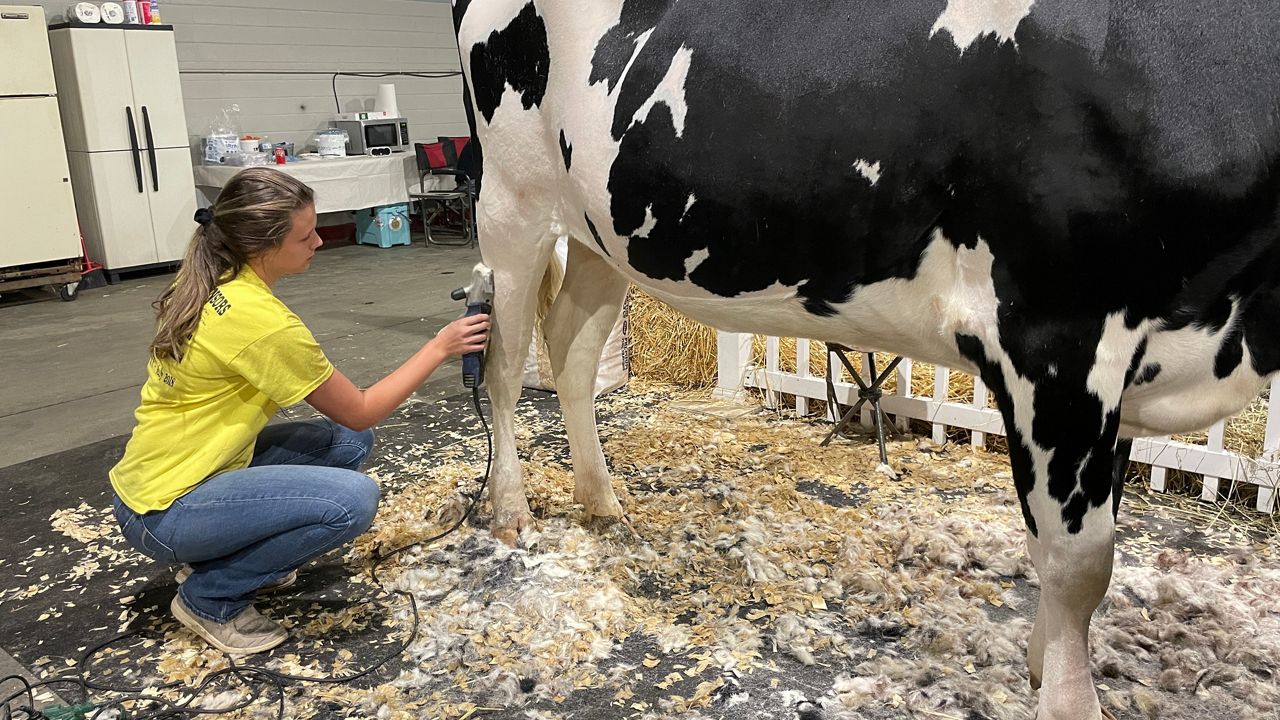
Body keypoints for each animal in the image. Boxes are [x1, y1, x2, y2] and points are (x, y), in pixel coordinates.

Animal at [455, 2, 1280, 712]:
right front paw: (1065, 691)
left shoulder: (1127, 362)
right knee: (503, 364)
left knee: (569, 346)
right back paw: (511, 512)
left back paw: (601, 499)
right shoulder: (1057, 338)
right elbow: (1081, 567)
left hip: (598, 227)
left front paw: (1040, 661)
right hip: (510, 202)